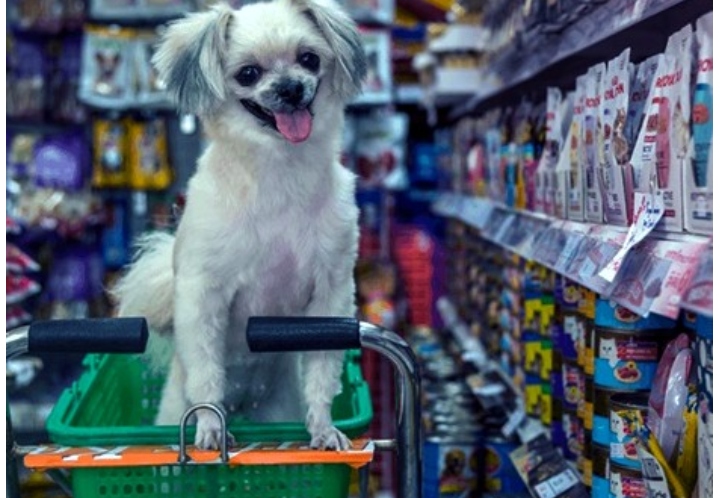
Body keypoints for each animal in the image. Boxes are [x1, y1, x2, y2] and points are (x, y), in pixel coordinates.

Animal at [115, 0, 368, 452]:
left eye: (309, 59)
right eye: (248, 73)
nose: (290, 88)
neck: (280, 174)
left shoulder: (332, 298)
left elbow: (322, 372)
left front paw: (322, 426)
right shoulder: (202, 296)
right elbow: (205, 368)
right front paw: (209, 427)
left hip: (279, 406)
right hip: (172, 407)